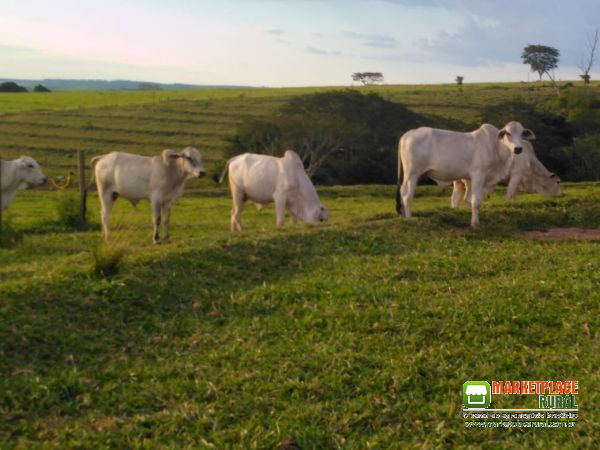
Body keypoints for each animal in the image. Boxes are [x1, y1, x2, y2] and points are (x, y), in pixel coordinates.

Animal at [398, 121, 536, 227]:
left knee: (402, 191)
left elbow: (468, 200)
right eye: (508, 133)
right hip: (413, 173)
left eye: (522, 134)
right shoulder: (478, 175)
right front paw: (474, 223)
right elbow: (476, 201)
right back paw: (409, 218)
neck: (495, 147)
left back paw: (404, 215)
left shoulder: (469, 179)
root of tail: (407, 135)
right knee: (407, 195)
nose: (518, 149)